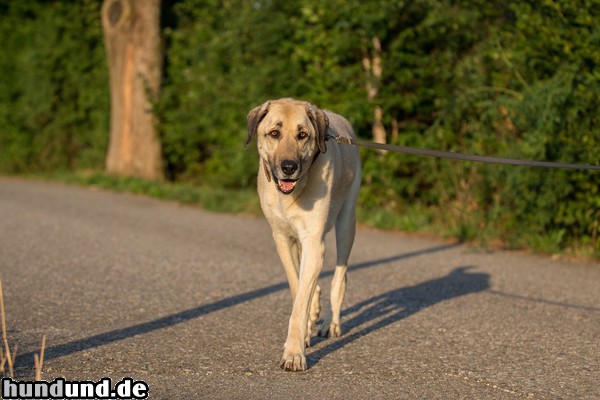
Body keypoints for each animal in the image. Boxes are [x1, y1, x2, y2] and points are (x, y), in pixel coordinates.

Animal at [245, 97, 360, 372]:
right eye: (274, 133)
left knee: (340, 277)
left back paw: (331, 323)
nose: (289, 167)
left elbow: (301, 302)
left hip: (346, 222)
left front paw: (294, 353)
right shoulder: (283, 239)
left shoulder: (314, 242)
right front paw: (306, 329)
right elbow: (298, 285)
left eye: (303, 135)